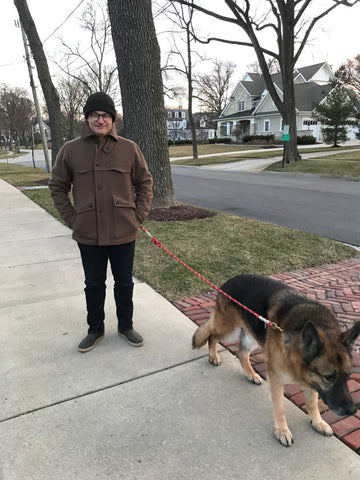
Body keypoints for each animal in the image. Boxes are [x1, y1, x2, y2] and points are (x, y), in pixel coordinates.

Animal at [193, 276, 360, 448]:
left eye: (348, 375)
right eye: (329, 377)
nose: (352, 410)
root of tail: (229, 280)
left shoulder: (313, 381)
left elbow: (312, 403)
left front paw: (317, 422)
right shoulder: (276, 379)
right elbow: (280, 408)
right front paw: (282, 431)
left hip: (252, 337)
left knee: (241, 353)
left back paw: (251, 374)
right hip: (229, 331)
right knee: (212, 335)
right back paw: (214, 356)